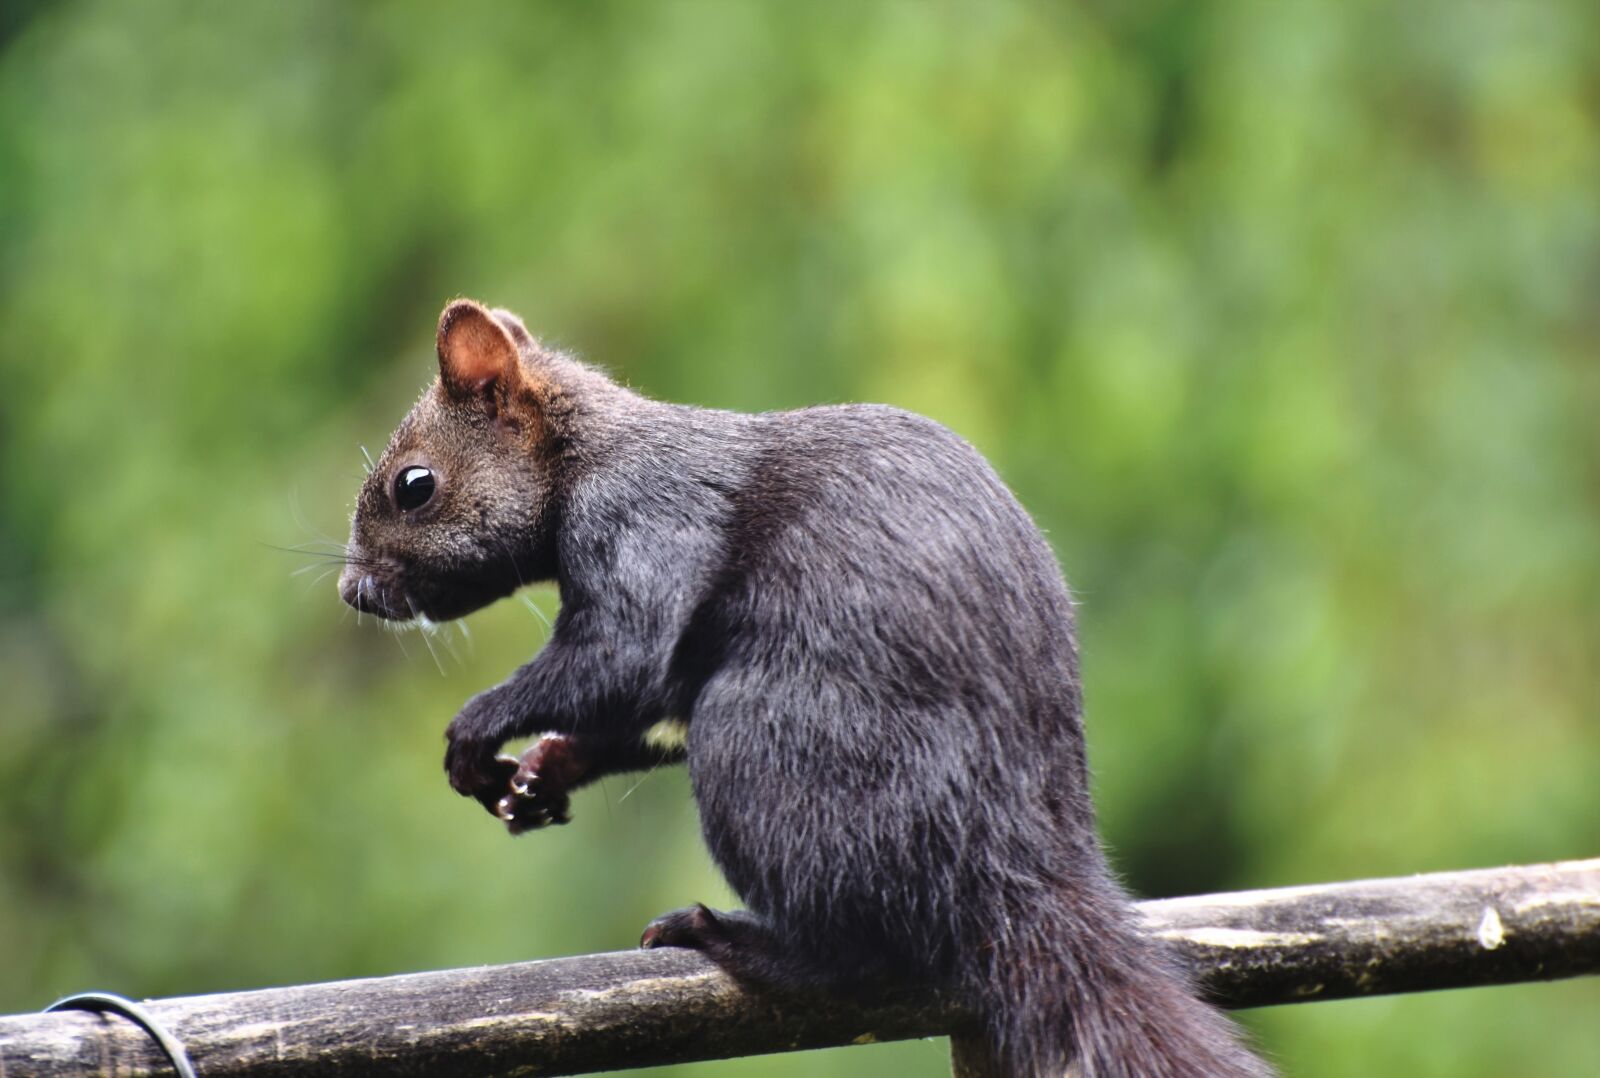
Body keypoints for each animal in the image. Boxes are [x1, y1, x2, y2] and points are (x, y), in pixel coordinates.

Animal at [338, 298, 1272, 1078]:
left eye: (414, 484)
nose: (352, 590)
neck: (588, 453)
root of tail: (1017, 853)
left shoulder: (644, 524)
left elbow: (621, 659)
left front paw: (475, 730)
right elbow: (642, 711)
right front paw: (538, 776)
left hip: (764, 754)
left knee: (857, 960)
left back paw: (725, 936)